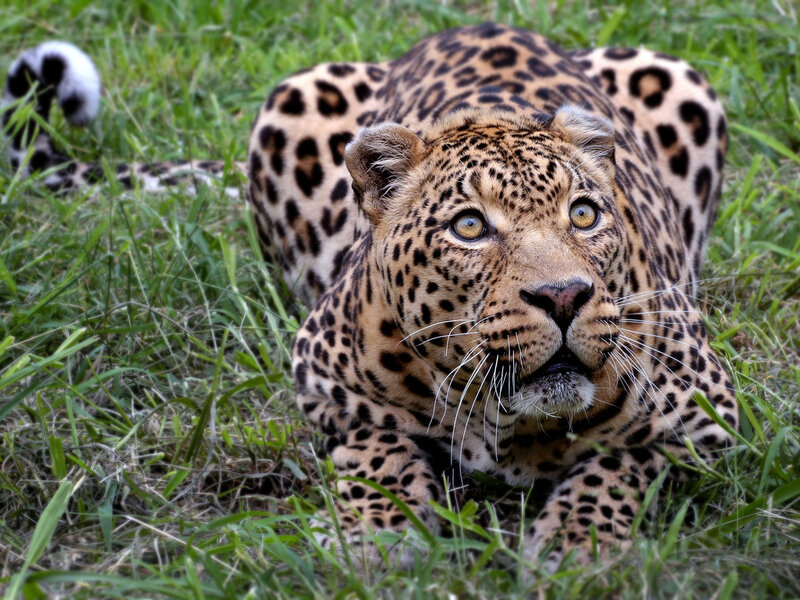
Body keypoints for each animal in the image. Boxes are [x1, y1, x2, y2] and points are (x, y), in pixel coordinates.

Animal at [3, 23, 737, 570]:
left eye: (584, 215)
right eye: (470, 227)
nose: (563, 296)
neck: (505, 422)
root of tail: (476, 22)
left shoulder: (709, 418)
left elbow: (620, 463)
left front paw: (575, 543)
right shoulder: (321, 378)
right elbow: (376, 443)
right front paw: (377, 535)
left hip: (678, 78)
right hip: (293, 98)